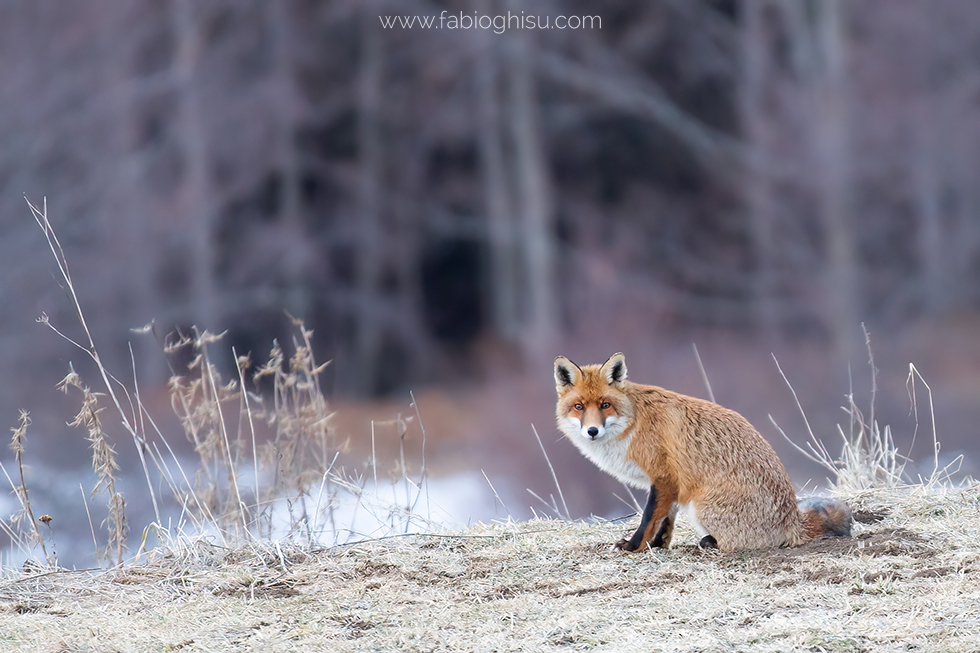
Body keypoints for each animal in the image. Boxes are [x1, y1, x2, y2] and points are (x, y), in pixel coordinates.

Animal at [556, 352, 852, 552]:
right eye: (579, 407)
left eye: (605, 405)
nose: (592, 431)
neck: (634, 423)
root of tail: (793, 520)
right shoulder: (673, 482)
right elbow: (666, 520)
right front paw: (658, 545)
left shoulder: (663, 476)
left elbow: (649, 518)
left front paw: (634, 546)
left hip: (701, 506)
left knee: (737, 544)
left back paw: (710, 542)